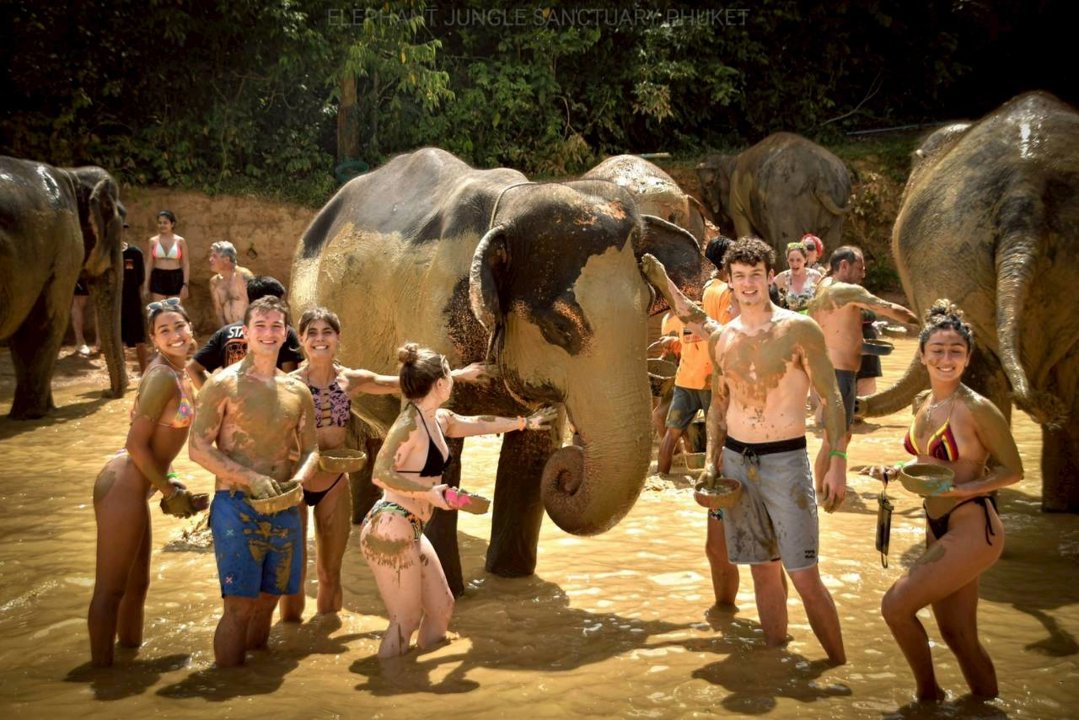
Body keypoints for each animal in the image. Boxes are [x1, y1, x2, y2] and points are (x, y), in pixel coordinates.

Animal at [0, 158, 128, 418]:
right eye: (120, 223)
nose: (107, 393)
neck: (72, 175)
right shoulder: (66, 246)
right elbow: (46, 321)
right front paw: (36, 414)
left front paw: (27, 415)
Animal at [290, 147, 701, 593]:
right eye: (561, 326)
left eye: (646, 304)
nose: (570, 468)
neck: (510, 207)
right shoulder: (432, 321)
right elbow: (441, 448)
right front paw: (450, 587)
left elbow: (532, 455)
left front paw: (511, 577)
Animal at [696, 132, 850, 257]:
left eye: (705, 193)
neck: (729, 161)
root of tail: (822, 179)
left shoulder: (736, 197)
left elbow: (745, 231)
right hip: (836, 211)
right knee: (829, 247)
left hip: (784, 209)